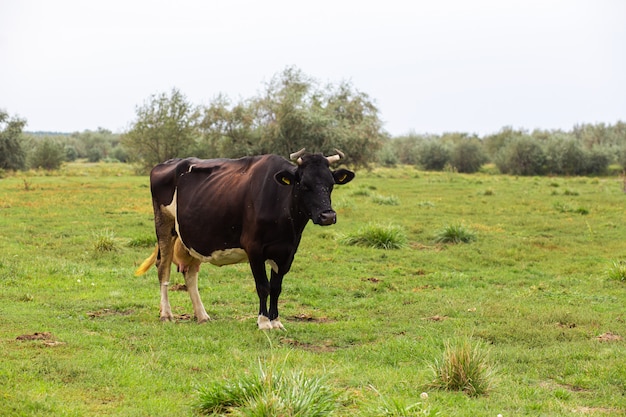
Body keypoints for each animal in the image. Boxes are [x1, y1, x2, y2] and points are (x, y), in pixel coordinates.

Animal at [134, 149, 354, 328]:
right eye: (304, 185)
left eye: (331, 184)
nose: (328, 216)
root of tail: (165, 164)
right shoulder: (254, 248)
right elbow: (263, 286)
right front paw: (264, 322)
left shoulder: (287, 251)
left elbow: (276, 287)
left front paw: (276, 321)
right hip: (164, 224)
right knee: (163, 268)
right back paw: (166, 314)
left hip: (193, 236)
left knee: (190, 274)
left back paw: (202, 315)